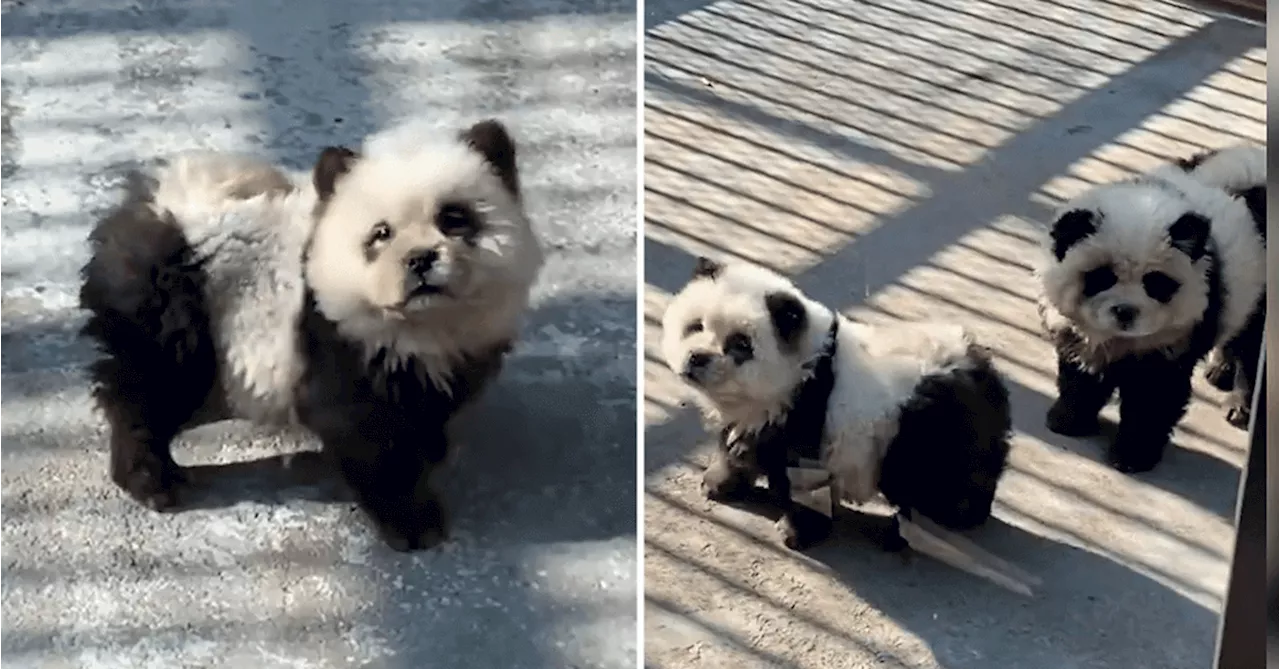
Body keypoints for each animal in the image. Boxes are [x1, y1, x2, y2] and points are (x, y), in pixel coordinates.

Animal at [78, 120, 540, 550]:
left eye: (454, 218)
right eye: (381, 233)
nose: (421, 259)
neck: (423, 323)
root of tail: (160, 204)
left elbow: (425, 414)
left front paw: (431, 454)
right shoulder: (339, 345)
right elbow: (368, 437)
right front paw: (413, 522)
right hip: (172, 310)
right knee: (148, 391)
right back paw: (151, 480)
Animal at [660, 259, 1008, 552]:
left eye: (740, 344)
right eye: (695, 326)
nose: (697, 358)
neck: (805, 368)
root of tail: (985, 374)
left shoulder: (809, 415)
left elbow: (804, 480)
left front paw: (797, 532)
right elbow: (742, 445)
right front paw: (719, 483)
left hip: (928, 432)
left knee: (935, 485)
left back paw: (922, 528)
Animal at [1039, 145, 1269, 470]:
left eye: (1155, 283)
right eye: (1102, 277)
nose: (1125, 312)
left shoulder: (1175, 337)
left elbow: (1154, 396)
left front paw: (1132, 455)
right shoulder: (1081, 331)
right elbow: (1082, 372)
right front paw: (1067, 419)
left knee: (1253, 348)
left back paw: (1240, 406)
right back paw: (1220, 369)